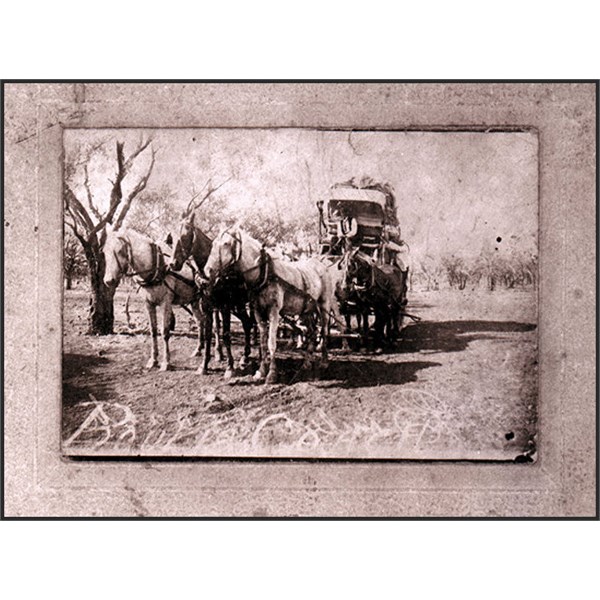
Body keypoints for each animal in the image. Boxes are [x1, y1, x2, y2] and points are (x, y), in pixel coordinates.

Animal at [103, 229, 204, 370]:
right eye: (104, 252)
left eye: (120, 251)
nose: (108, 281)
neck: (156, 267)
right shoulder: (149, 304)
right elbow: (153, 330)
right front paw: (153, 360)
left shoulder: (166, 303)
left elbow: (165, 332)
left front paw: (166, 362)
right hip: (194, 301)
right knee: (200, 321)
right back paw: (198, 350)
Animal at [204, 225, 342, 384]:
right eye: (213, 243)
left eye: (226, 243)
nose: (207, 270)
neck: (264, 274)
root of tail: (321, 264)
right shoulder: (258, 312)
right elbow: (263, 343)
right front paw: (261, 371)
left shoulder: (274, 311)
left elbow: (271, 343)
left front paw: (272, 374)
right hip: (305, 310)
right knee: (312, 331)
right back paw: (307, 362)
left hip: (324, 305)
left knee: (324, 330)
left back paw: (324, 361)